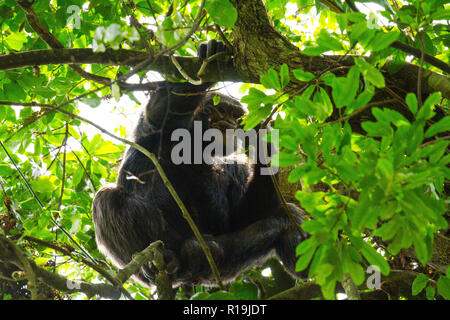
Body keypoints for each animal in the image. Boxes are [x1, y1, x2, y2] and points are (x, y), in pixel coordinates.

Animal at [93, 40, 308, 288]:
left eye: (235, 115)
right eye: (220, 110)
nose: (229, 123)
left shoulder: (238, 167)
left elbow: (246, 213)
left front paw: (264, 137)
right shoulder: (153, 127)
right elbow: (159, 109)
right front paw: (207, 57)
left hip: (227, 263)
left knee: (284, 215)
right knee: (107, 199)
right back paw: (166, 260)